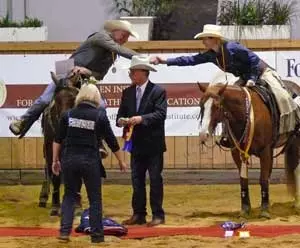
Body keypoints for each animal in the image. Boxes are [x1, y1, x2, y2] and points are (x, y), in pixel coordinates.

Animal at [197, 80, 300, 218]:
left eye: (217, 106)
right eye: (201, 105)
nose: (204, 134)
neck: (246, 114)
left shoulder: (265, 151)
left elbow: (263, 179)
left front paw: (265, 210)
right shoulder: (237, 152)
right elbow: (243, 180)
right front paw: (245, 209)